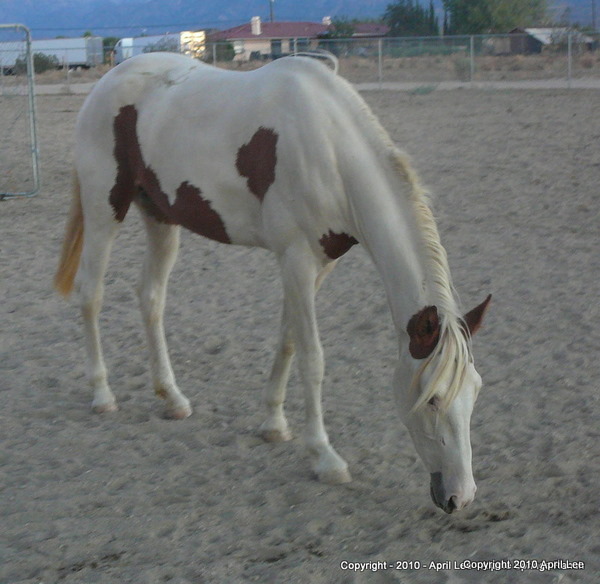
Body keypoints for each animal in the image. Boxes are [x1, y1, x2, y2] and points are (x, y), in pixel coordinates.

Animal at [54, 53, 490, 512]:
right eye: (433, 398)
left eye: (475, 391)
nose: (460, 496)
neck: (330, 149)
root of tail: (107, 82)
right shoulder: (296, 258)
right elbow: (313, 358)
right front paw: (324, 456)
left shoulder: (319, 264)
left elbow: (288, 341)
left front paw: (274, 424)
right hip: (105, 208)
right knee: (91, 293)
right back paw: (103, 395)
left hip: (160, 217)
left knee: (151, 298)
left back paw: (172, 397)